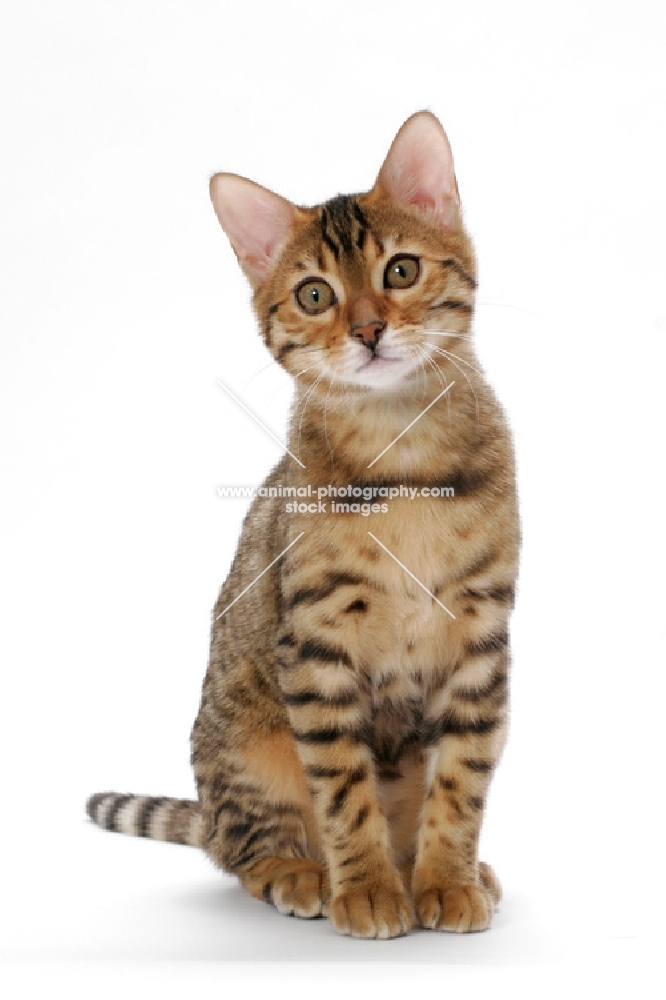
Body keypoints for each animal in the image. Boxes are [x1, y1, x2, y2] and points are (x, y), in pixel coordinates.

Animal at [85, 113, 520, 940]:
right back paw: (302, 872)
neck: (401, 455)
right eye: (314, 294)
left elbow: (465, 779)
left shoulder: (481, 636)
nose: (370, 330)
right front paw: (370, 888)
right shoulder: (317, 640)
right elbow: (344, 787)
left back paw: (441, 868)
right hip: (248, 747)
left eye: (401, 272)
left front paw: (446, 877)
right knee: (244, 846)